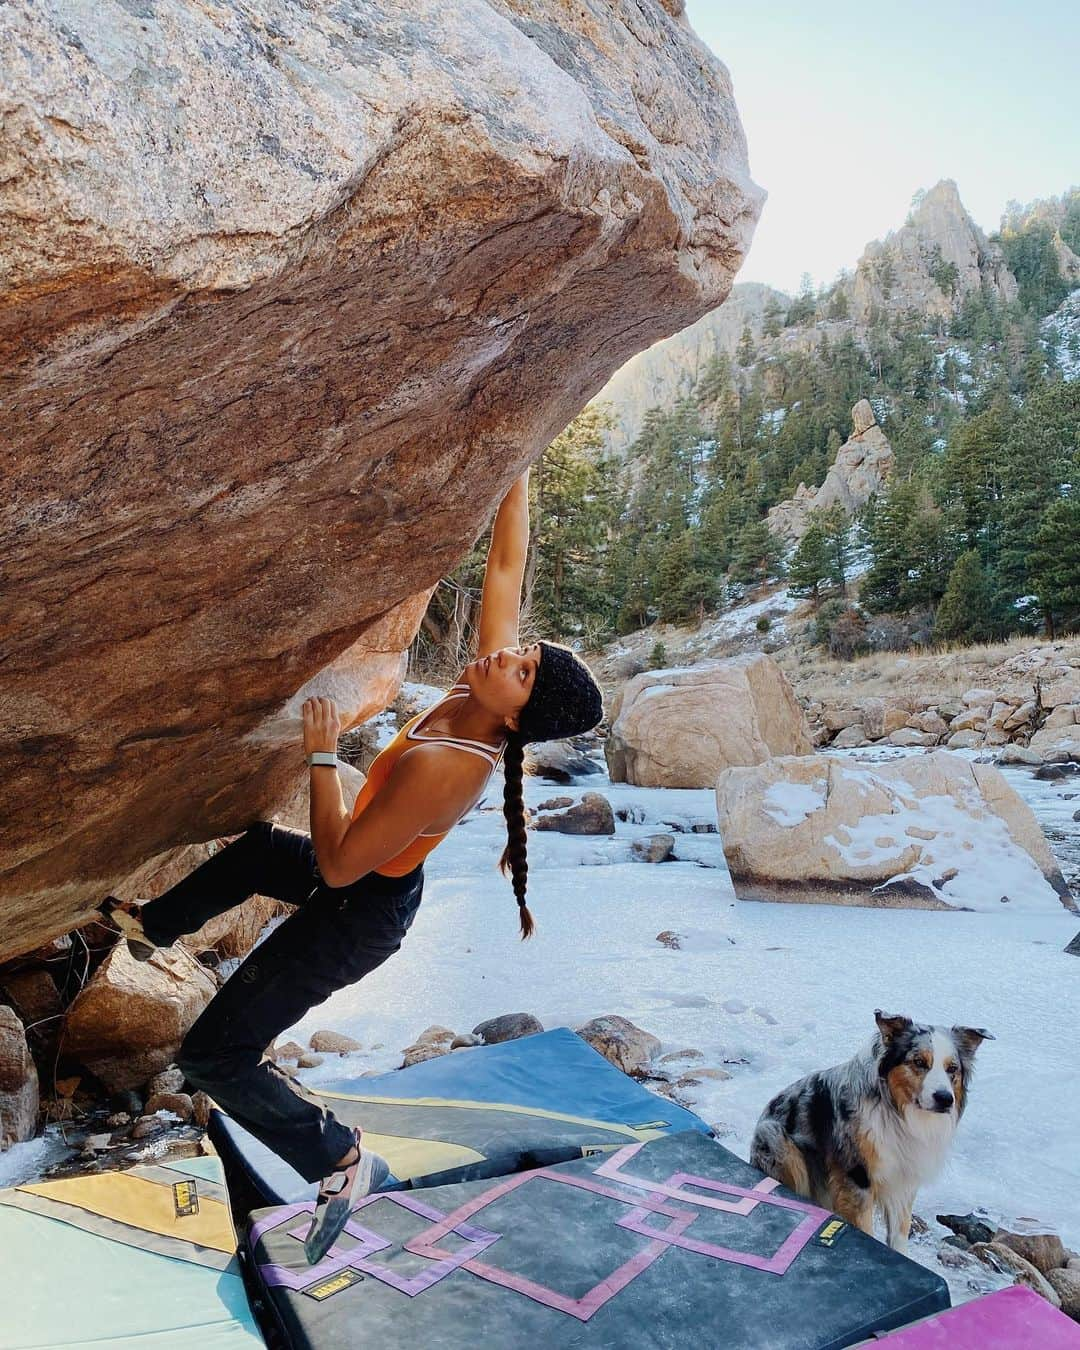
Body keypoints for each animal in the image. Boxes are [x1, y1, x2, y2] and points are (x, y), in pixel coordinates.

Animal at [750, 1009, 988, 1247]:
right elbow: (864, 1228)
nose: (945, 1099)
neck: (898, 1114)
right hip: (777, 1140)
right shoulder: (856, 1178)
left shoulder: (903, 1182)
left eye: (952, 1068)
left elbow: (899, 1236)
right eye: (919, 1062)